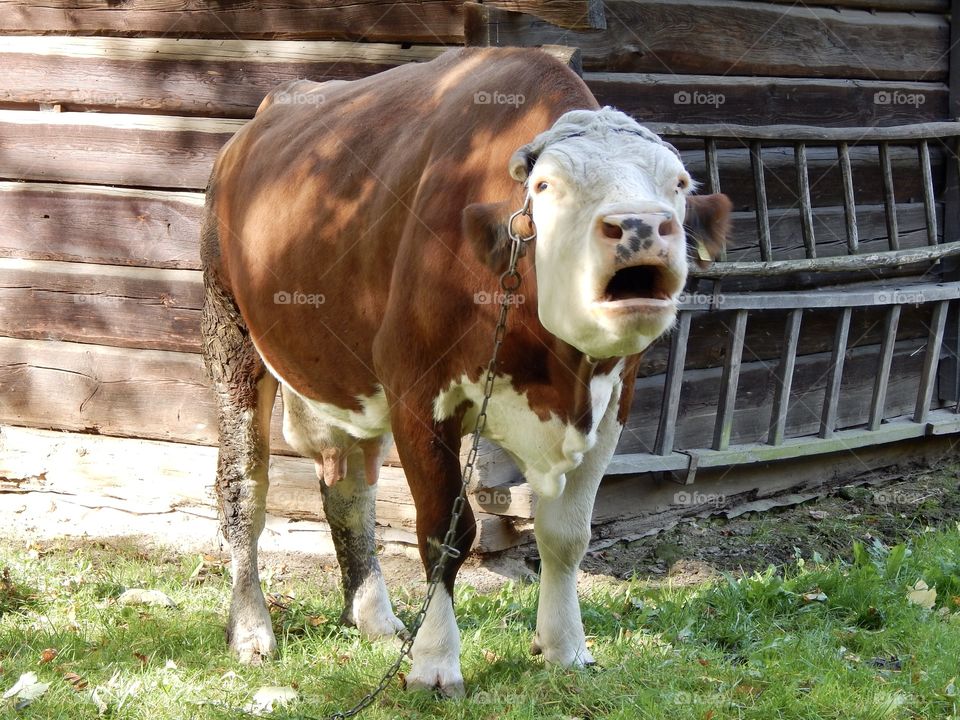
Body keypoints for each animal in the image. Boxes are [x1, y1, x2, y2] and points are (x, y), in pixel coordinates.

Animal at [202, 46, 728, 696]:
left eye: (678, 183)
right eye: (547, 186)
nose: (640, 225)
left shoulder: (612, 408)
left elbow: (566, 535)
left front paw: (565, 647)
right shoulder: (417, 392)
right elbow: (445, 534)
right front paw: (434, 663)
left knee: (349, 489)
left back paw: (374, 617)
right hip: (230, 332)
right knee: (243, 490)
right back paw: (251, 628)